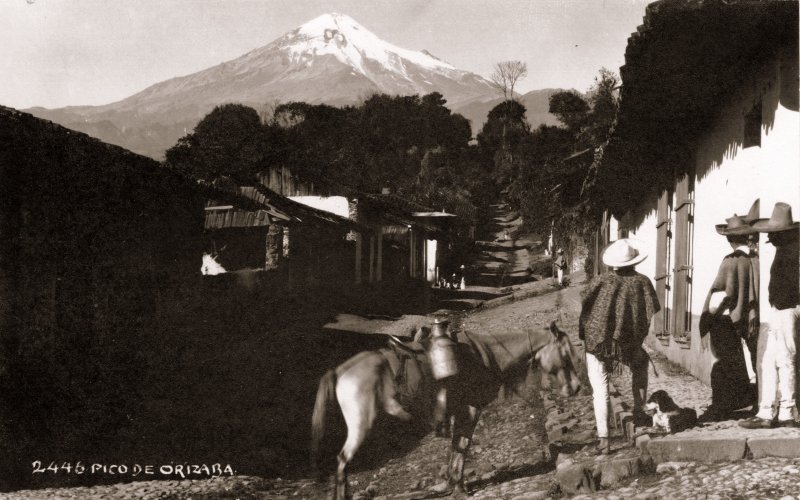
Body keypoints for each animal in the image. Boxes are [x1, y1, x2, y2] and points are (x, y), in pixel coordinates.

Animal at [312, 322, 580, 498]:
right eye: (565, 354)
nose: (577, 387)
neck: (484, 356)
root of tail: (341, 370)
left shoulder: (462, 411)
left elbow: (456, 447)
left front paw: (453, 484)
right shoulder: (471, 410)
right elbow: (462, 446)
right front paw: (459, 487)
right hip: (361, 426)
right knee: (342, 461)